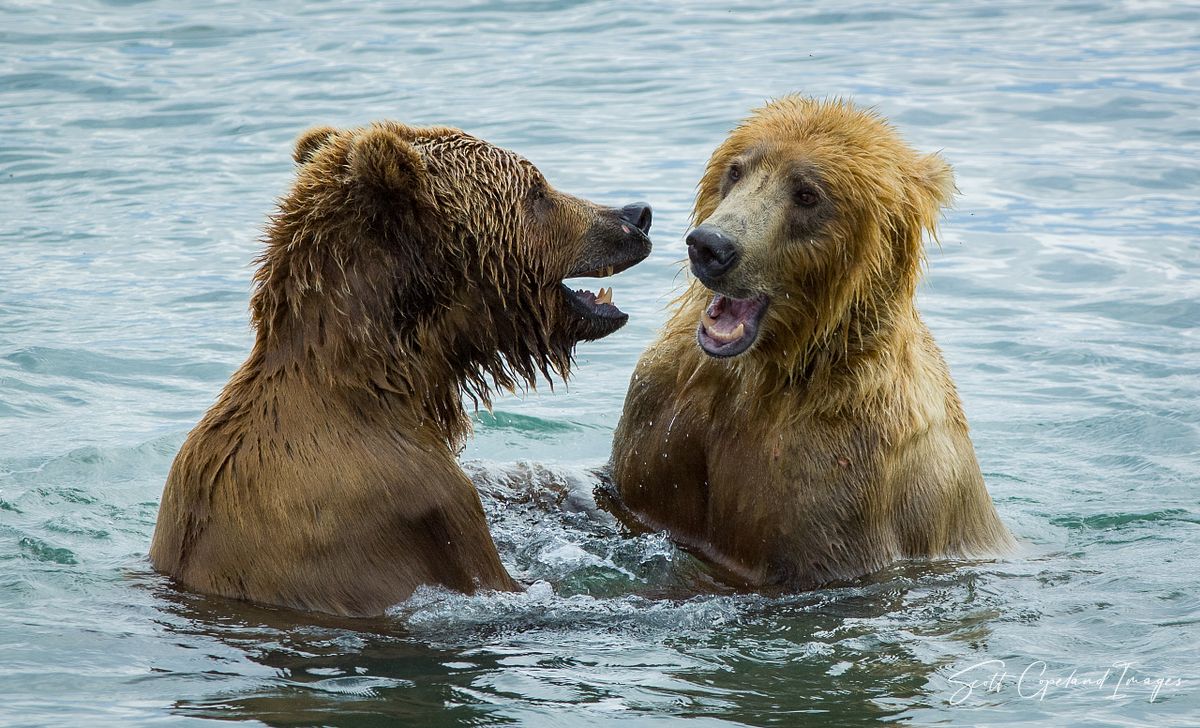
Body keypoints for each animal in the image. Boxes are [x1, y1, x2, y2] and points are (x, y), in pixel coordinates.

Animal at [608, 96, 1013, 590]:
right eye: (737, 170)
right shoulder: (662, 410)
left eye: (806, 194)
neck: (763, 370)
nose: (710, 244)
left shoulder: (835, 472)